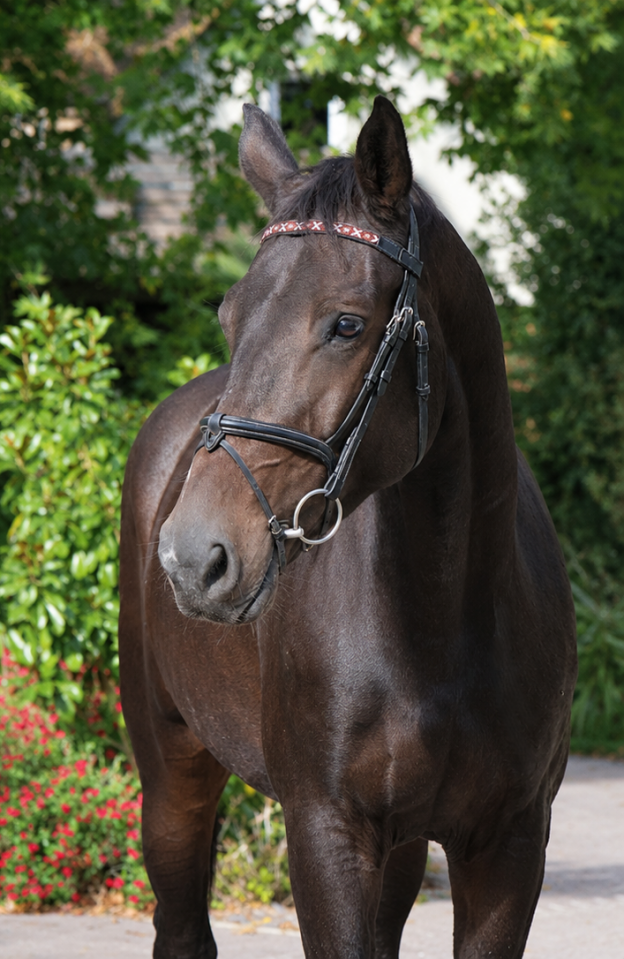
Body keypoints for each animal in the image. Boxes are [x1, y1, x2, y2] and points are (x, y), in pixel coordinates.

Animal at [119, 96, 577, 959]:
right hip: (170, 769)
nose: (194, 557)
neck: (444, 617)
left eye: (345, 324)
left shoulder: (508, 845)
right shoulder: (326, 832)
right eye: (228, 313)